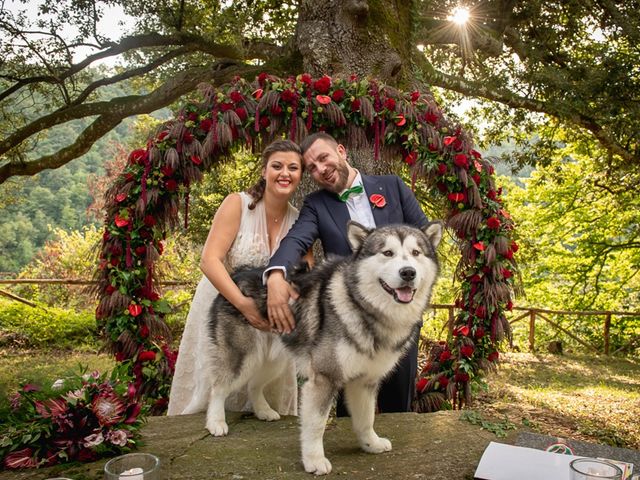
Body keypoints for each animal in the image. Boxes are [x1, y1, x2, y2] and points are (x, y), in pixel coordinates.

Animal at [200, 222, 440, 476]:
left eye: (416, 253)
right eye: (387, 253)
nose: (408, 273)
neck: (363, 307)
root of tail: (238, 275)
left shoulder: (365, 380)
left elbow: (366, 418)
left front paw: (370, 444)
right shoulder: (325, 378)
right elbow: (316, 424)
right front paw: (314, 460)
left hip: (272, 361)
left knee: (253, 384)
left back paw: (263, 411)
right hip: (242, 357)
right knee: (218, 387)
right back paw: (216, 422)